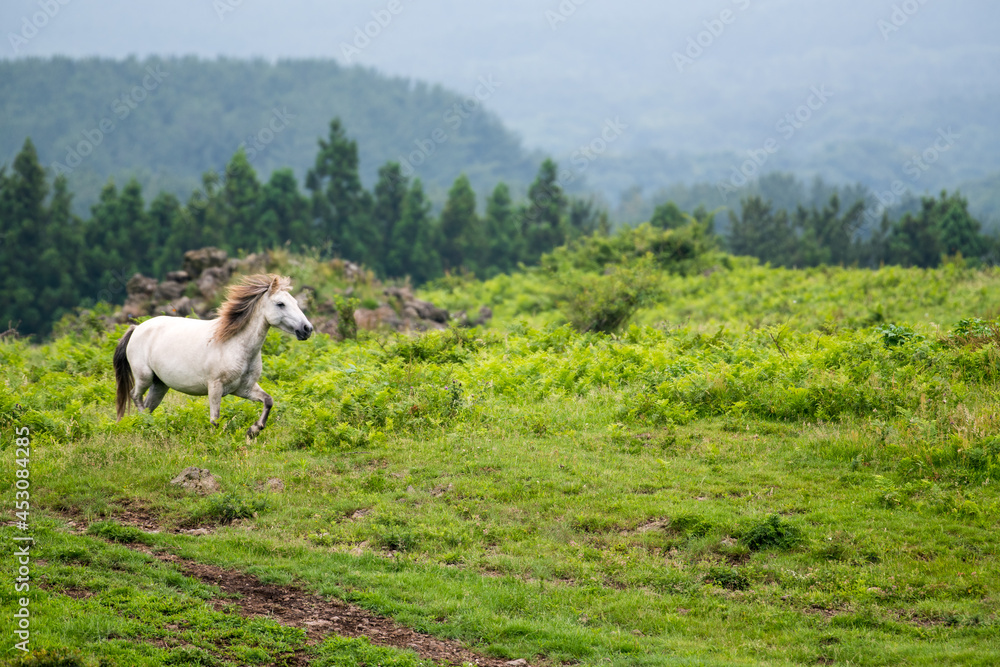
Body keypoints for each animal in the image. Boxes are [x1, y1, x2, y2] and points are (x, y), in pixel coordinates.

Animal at [113, 273, 313, 438]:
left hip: (160, 384)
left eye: (296, 303)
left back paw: (150, 426)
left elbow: (268, 401)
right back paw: (145, 423)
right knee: (135, 396)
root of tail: (137, 328)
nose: (307, 329)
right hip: (144, 376)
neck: (234, 345)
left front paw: (253, 430)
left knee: (148, 405)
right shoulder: (215, 387)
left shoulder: (245, 388)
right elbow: (215, 419)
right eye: (280, 304)